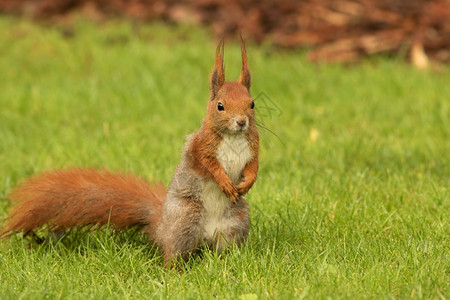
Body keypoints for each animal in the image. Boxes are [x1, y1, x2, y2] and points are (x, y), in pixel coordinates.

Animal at [0, 38, 260, 268]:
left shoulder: (253, 148)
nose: (241, 122)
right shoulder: (199, 147)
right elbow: (208, 165)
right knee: (175, 254)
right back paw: (174, 272)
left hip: (234, 225)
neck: (233, 138)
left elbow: (253, 167)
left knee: (223, 249)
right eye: (220, 106)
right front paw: (224, 181)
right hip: (185, 223)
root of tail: (161, 227)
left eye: (252, 103)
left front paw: (246, 183)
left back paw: (228, 264)